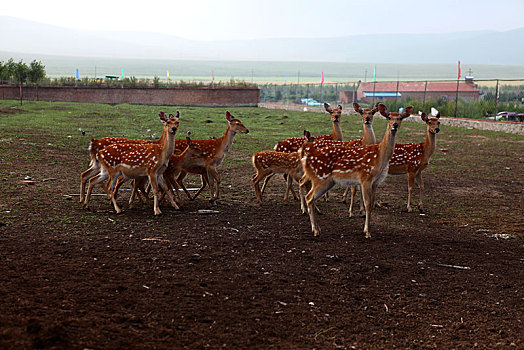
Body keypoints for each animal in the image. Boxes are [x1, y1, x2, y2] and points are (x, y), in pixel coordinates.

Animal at [300, 102, 412, 237]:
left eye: (400, 118)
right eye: (389, 117)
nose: (394, 125)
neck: (380, 156)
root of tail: (305, 157)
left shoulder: (376, 182)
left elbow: (372, 204)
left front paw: (365, 226)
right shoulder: (365, 177)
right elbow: (367, 204)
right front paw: (367, 232)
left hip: (326, 180)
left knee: (307, 192)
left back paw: (316, 227)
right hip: (320, 177)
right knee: (309, 197)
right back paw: (315, 229)